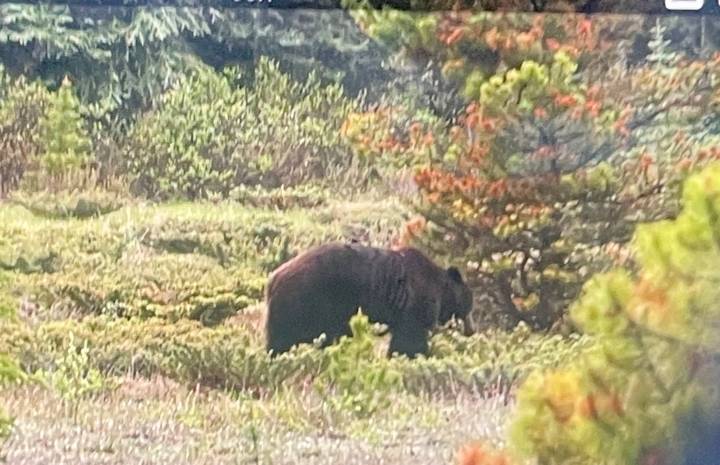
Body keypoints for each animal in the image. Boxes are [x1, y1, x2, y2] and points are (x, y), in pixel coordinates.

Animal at [264, 241, 473, 358]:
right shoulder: (414, 304)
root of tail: (274, 278)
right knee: (283, 338)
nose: (471, 331)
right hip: (307, 303)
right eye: (469, 307)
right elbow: (410, 338)